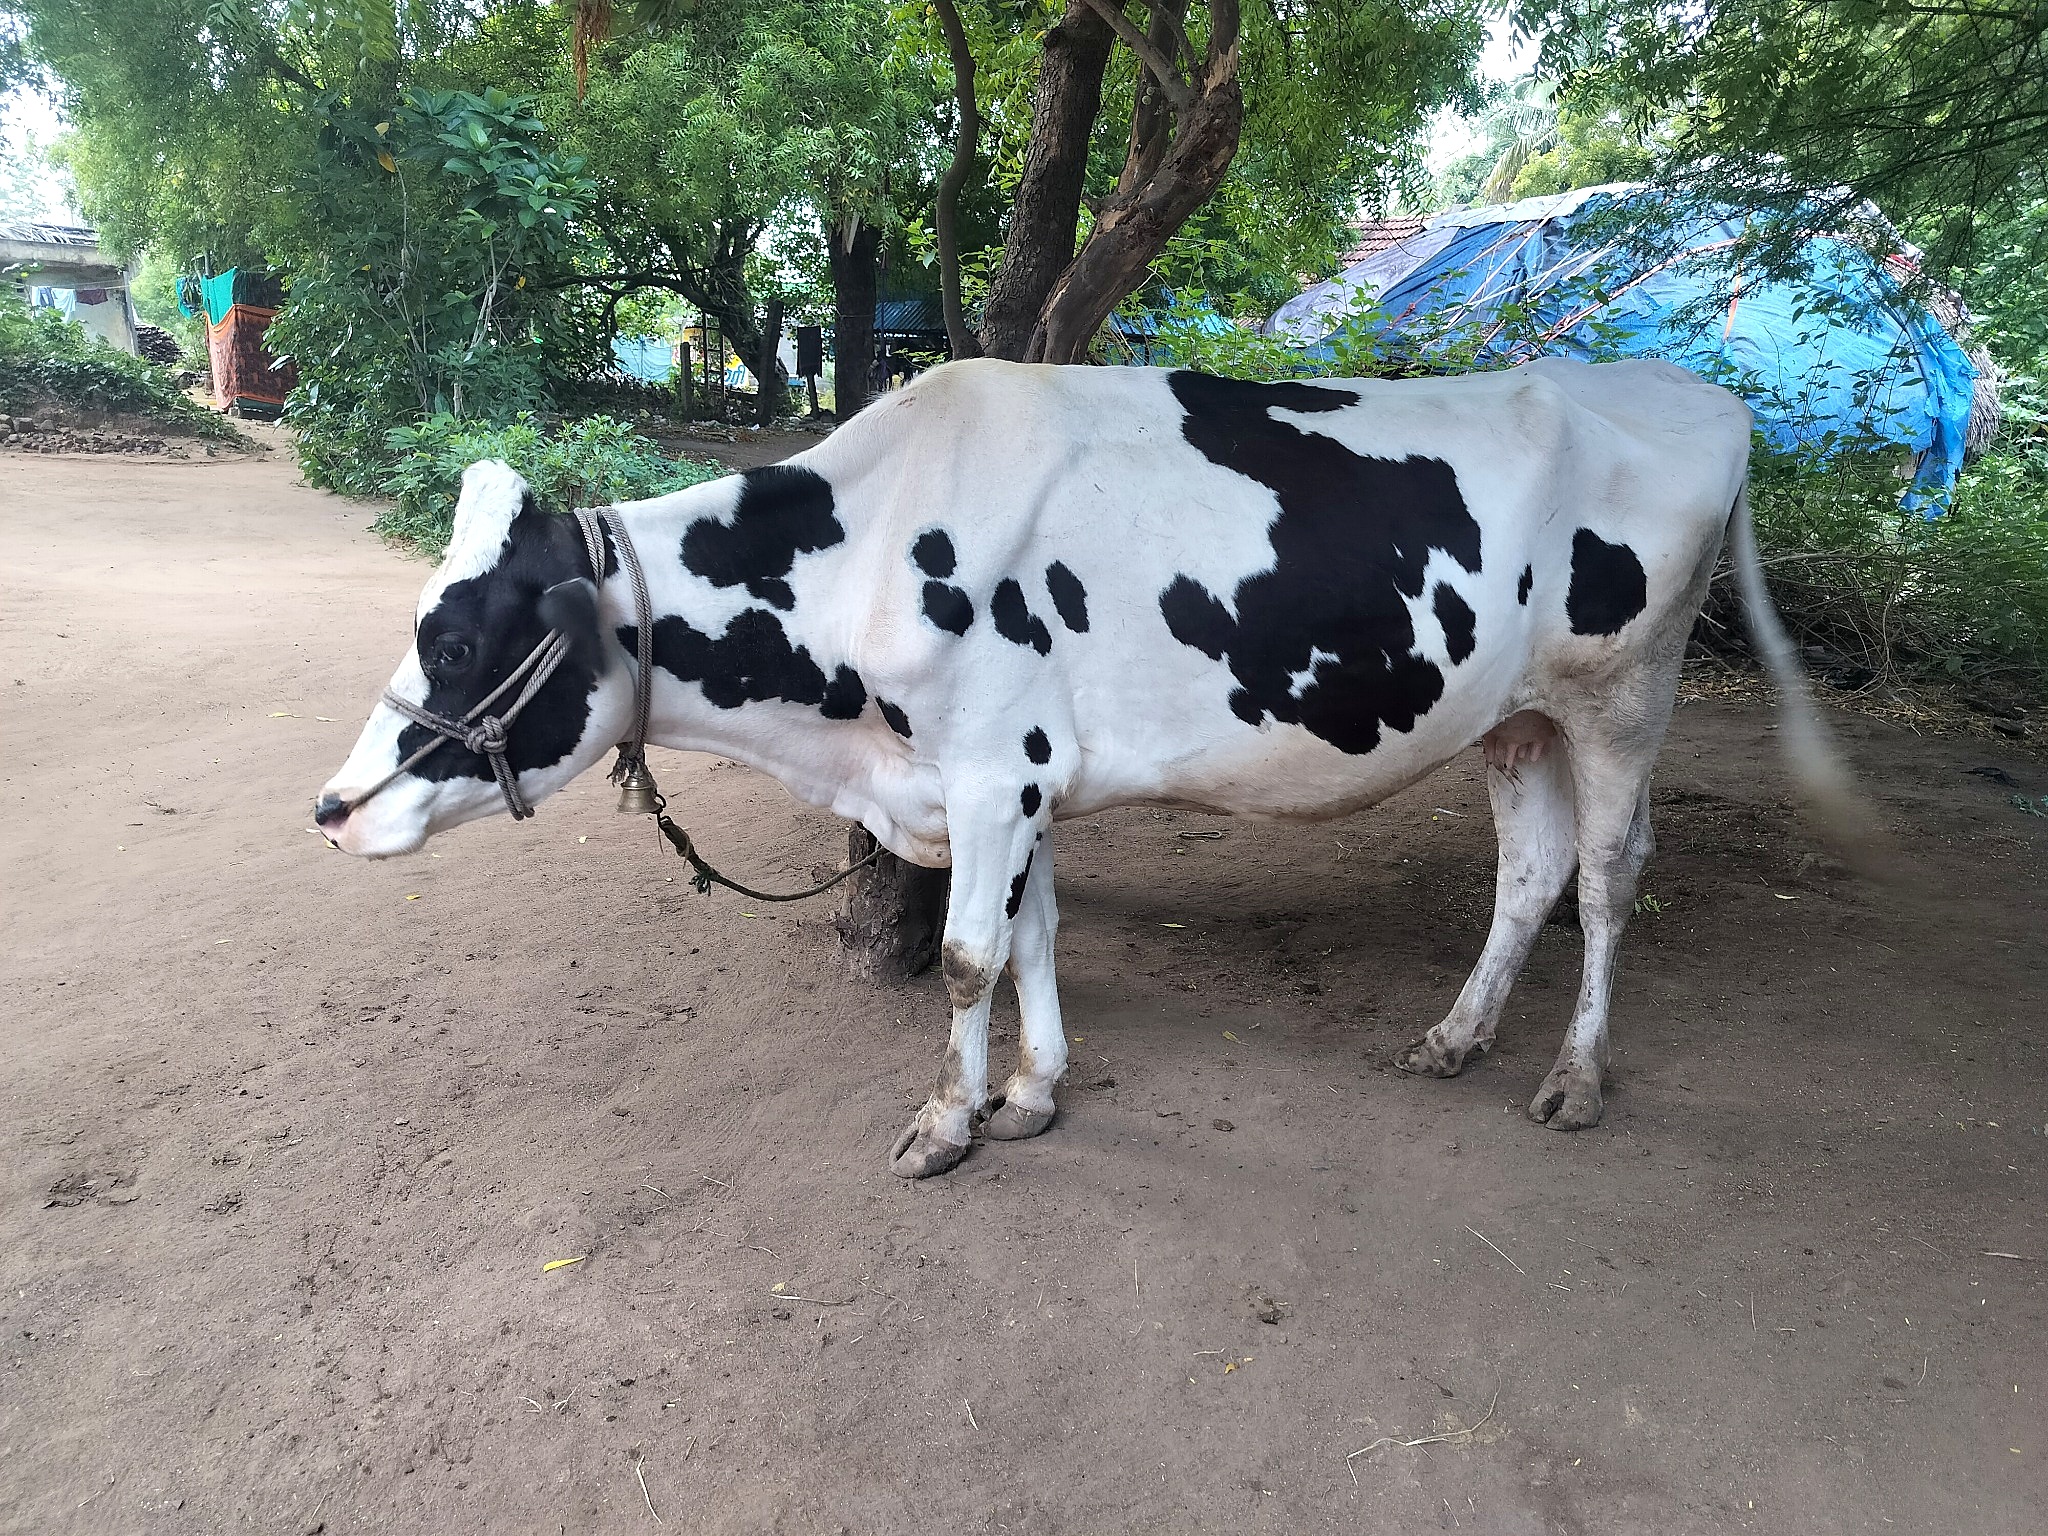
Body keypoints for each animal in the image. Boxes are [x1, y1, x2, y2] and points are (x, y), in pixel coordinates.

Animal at [316, 356, 1857, 1179]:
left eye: (454, 637)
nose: (333, 811)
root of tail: (1694, 392)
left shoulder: (989, 773)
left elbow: (963, 960)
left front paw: (947, 1121)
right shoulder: (1021, 778)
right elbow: (1035, 938)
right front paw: (1033, 1093)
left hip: (1622, 698)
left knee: (1603, 879)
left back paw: (1575, 1078)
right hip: (1513, 714)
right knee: (1528, 871)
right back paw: (1455, 1037)